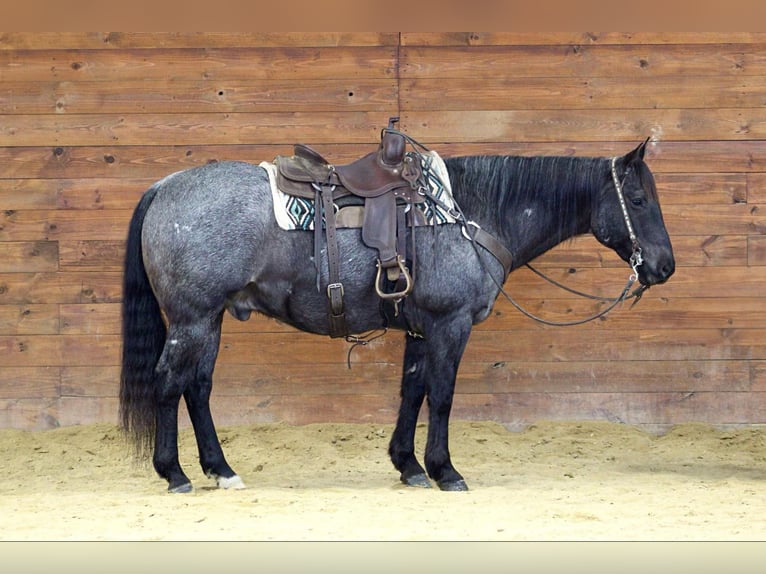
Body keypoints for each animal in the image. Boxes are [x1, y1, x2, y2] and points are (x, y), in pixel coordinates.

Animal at [117, 140, 676, 496]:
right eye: (639, 199)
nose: (664, 266)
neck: (468, 215)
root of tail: (164, 186)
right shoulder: (451, 323)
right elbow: (442, 395)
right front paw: (445, 470)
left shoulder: (421, 327)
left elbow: (413, 391)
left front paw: (408, 465)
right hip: (192, 318)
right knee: (168, 383)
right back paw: (175, 474)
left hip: (209, 320)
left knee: (198, 387)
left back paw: (221, 470)